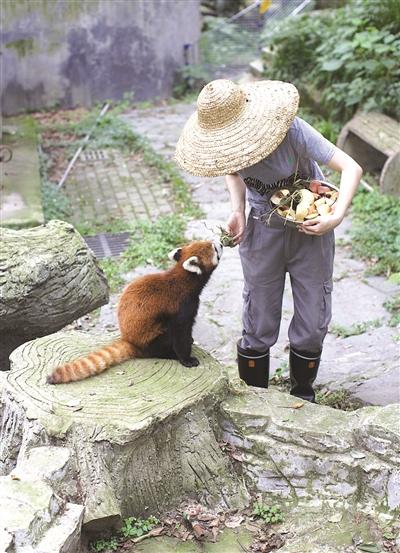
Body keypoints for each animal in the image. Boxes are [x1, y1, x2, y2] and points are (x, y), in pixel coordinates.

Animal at [47, 239, 223, 386]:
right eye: (214, 248)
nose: (221, 242)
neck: (184, 280)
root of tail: (129, 340)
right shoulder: (182, 307)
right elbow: (180, 333)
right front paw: (186, 359)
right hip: (152, 337)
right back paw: (170, 353)